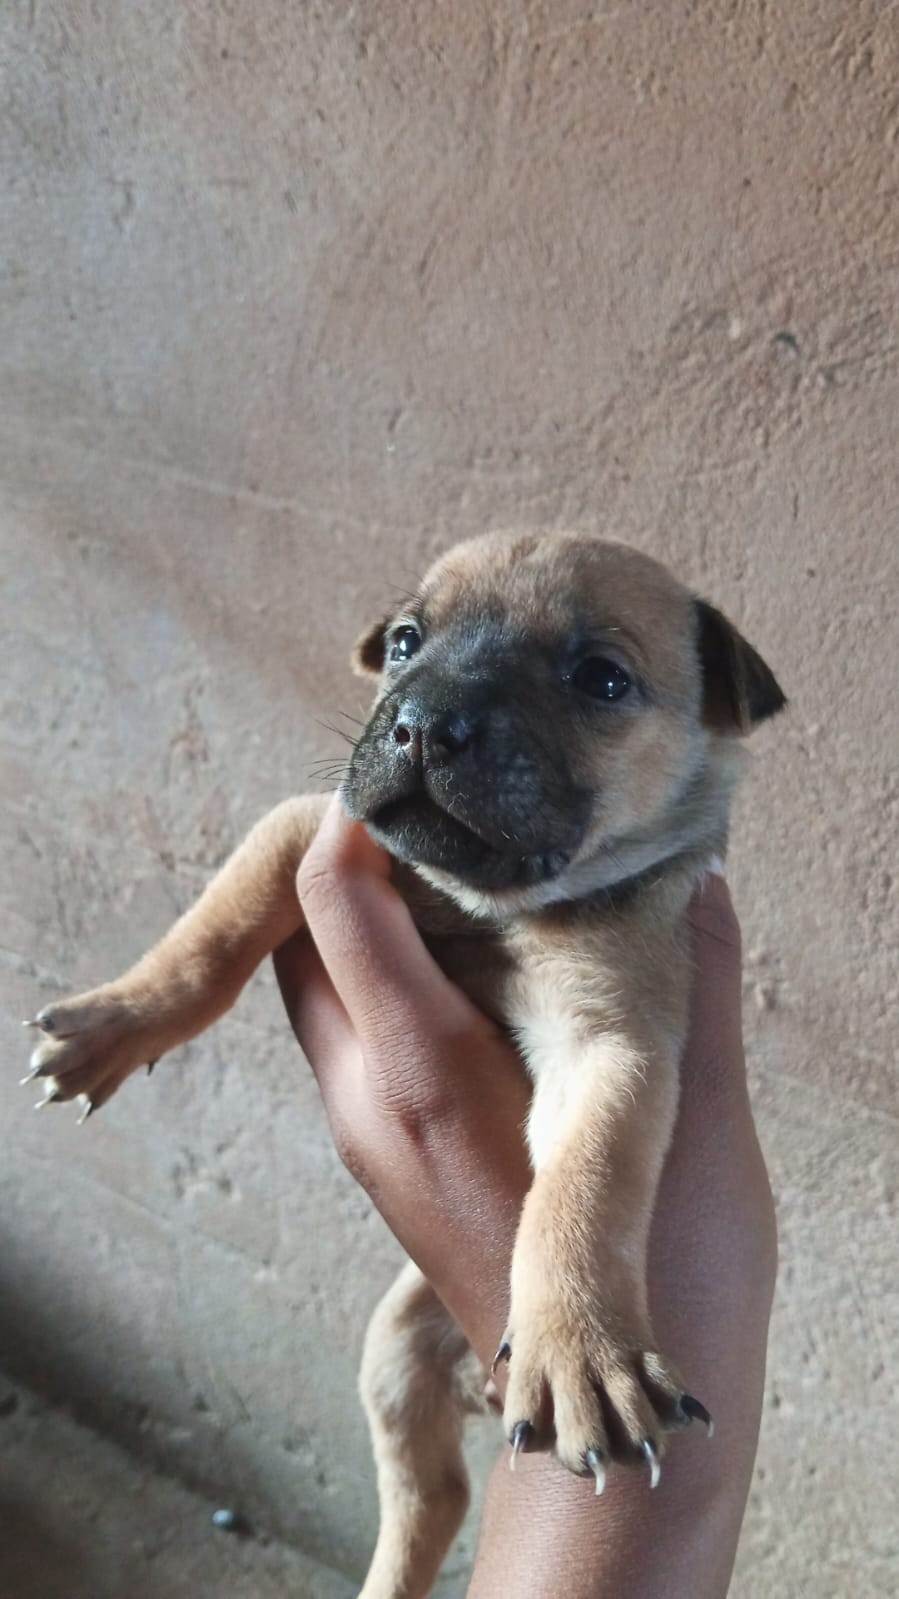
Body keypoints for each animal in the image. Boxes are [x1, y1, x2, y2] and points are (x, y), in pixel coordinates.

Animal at [23, 530, 784, 1598]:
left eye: (600, 678)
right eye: (403, 642)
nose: (423, 724)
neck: (478, 905)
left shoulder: (611, 1040)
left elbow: (583, 1187)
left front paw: (581, 1346)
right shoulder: (308, 823)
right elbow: (213, 932)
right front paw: (113, 1021)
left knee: (436, 1496)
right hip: (390, 1358)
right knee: (425, 1501)